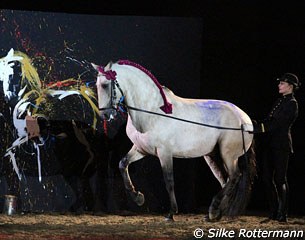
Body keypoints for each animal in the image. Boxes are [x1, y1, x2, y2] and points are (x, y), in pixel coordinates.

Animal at [92, 60, 254, 221]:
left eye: (105, 85)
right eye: (97, 85)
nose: (104, 116)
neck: (153, 111)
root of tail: (244, 119)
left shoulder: (165, 153)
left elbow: (169, 180)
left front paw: (171, 213)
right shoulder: (140, 149)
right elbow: (122, 164)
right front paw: (138, 197)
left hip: (228, 155)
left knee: (234, 177)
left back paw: (214, 208)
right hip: (213, 156)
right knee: (225, 180)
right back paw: (215, 213)